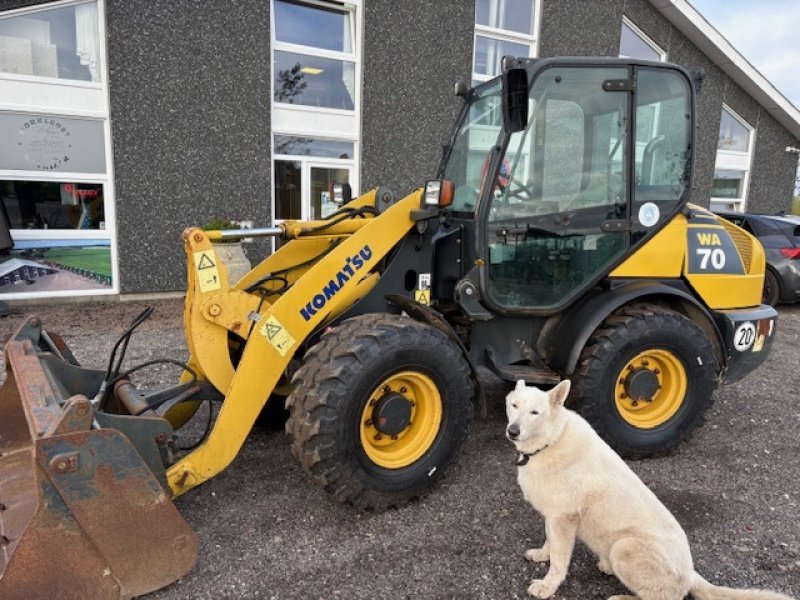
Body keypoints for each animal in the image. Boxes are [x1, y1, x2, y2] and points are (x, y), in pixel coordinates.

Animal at [506, 380, 792, 600]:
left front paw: (547, 586)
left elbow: (559, 560)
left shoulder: (564, 518)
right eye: (514, 406)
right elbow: (550, 543)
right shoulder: (554, 515)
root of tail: (690, 572)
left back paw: (621, 597)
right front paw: (541, 555)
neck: (550, 441)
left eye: (535, 412)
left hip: (624, 547)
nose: (513, 431)